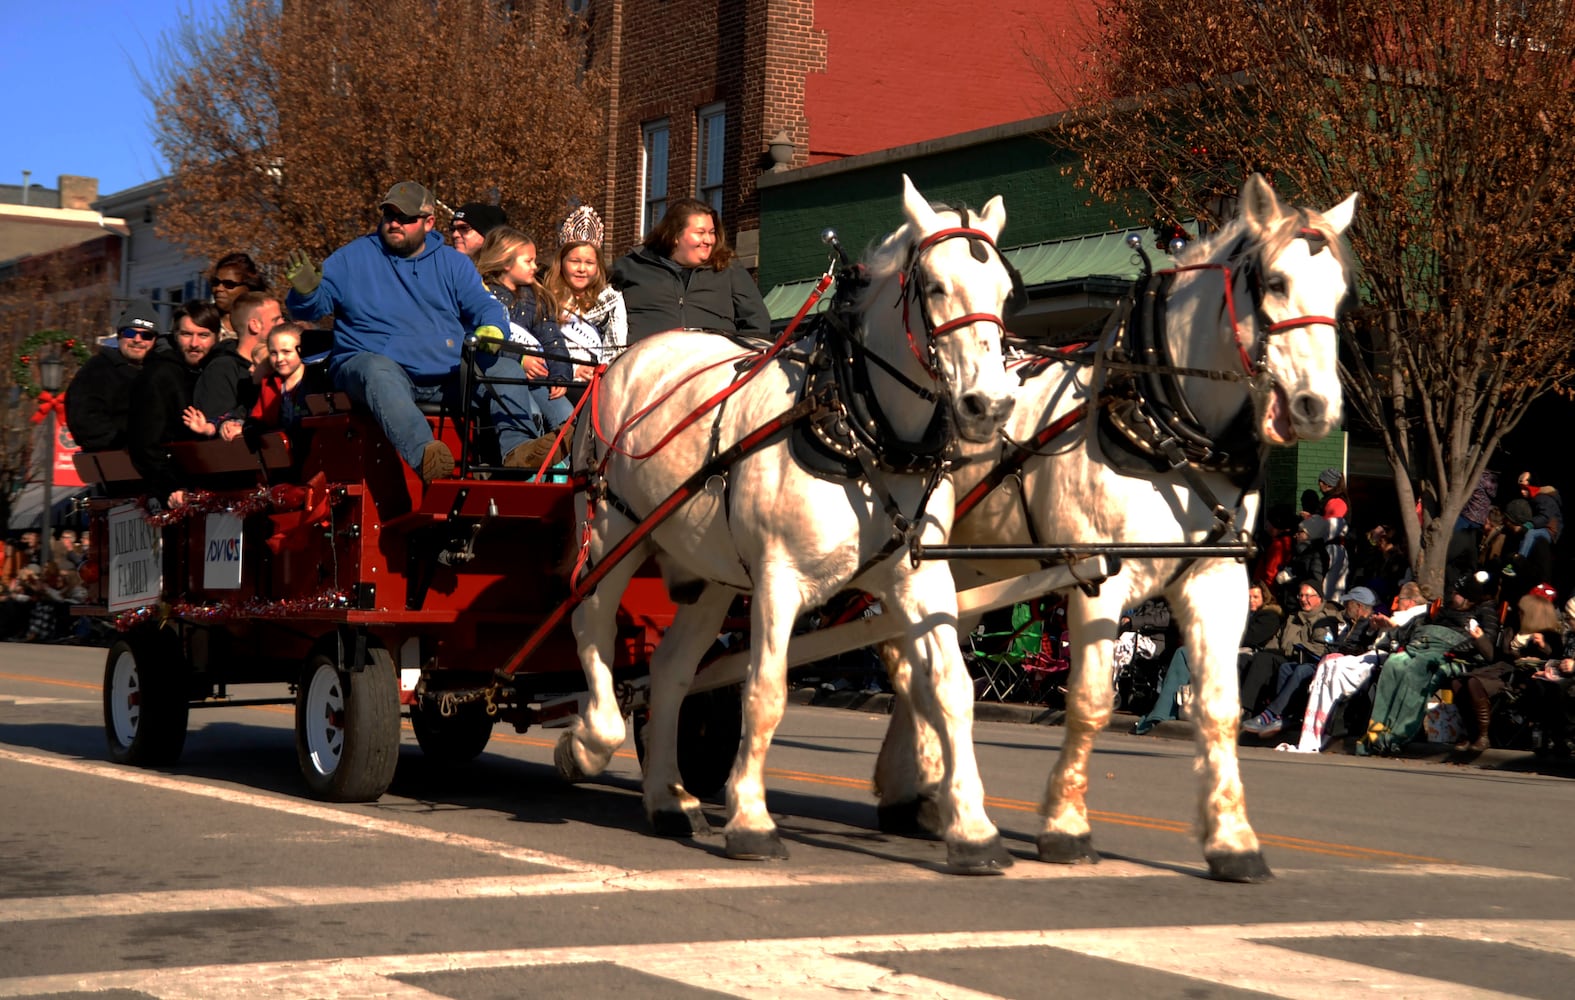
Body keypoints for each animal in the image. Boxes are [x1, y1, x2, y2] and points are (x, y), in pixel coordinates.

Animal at [563, 176, 1020, 875]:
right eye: (938, 287)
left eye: (1004, 291)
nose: (989, 405)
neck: (856, 423)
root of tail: (628, 358)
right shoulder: (779, 580)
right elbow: (767, 690)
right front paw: (751, 820)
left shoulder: (917, 580)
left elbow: (951, 690)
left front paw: (971, 829)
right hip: (614, 529)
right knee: (592, 624)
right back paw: (589, 741)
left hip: (709, 572)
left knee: (669, 671)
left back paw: (668, 797)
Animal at [875, 176, 1354, 881]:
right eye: (1275, 282)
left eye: (1340, 292)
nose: (1318, 406)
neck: (1160, 418)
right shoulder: (1097, 578)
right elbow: (1093, 700)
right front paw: (1066, 826)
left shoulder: (1217, 580)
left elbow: (1220, 708)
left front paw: (1233, 840)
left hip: (962, 569)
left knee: (919, 666)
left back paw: (924, 794)